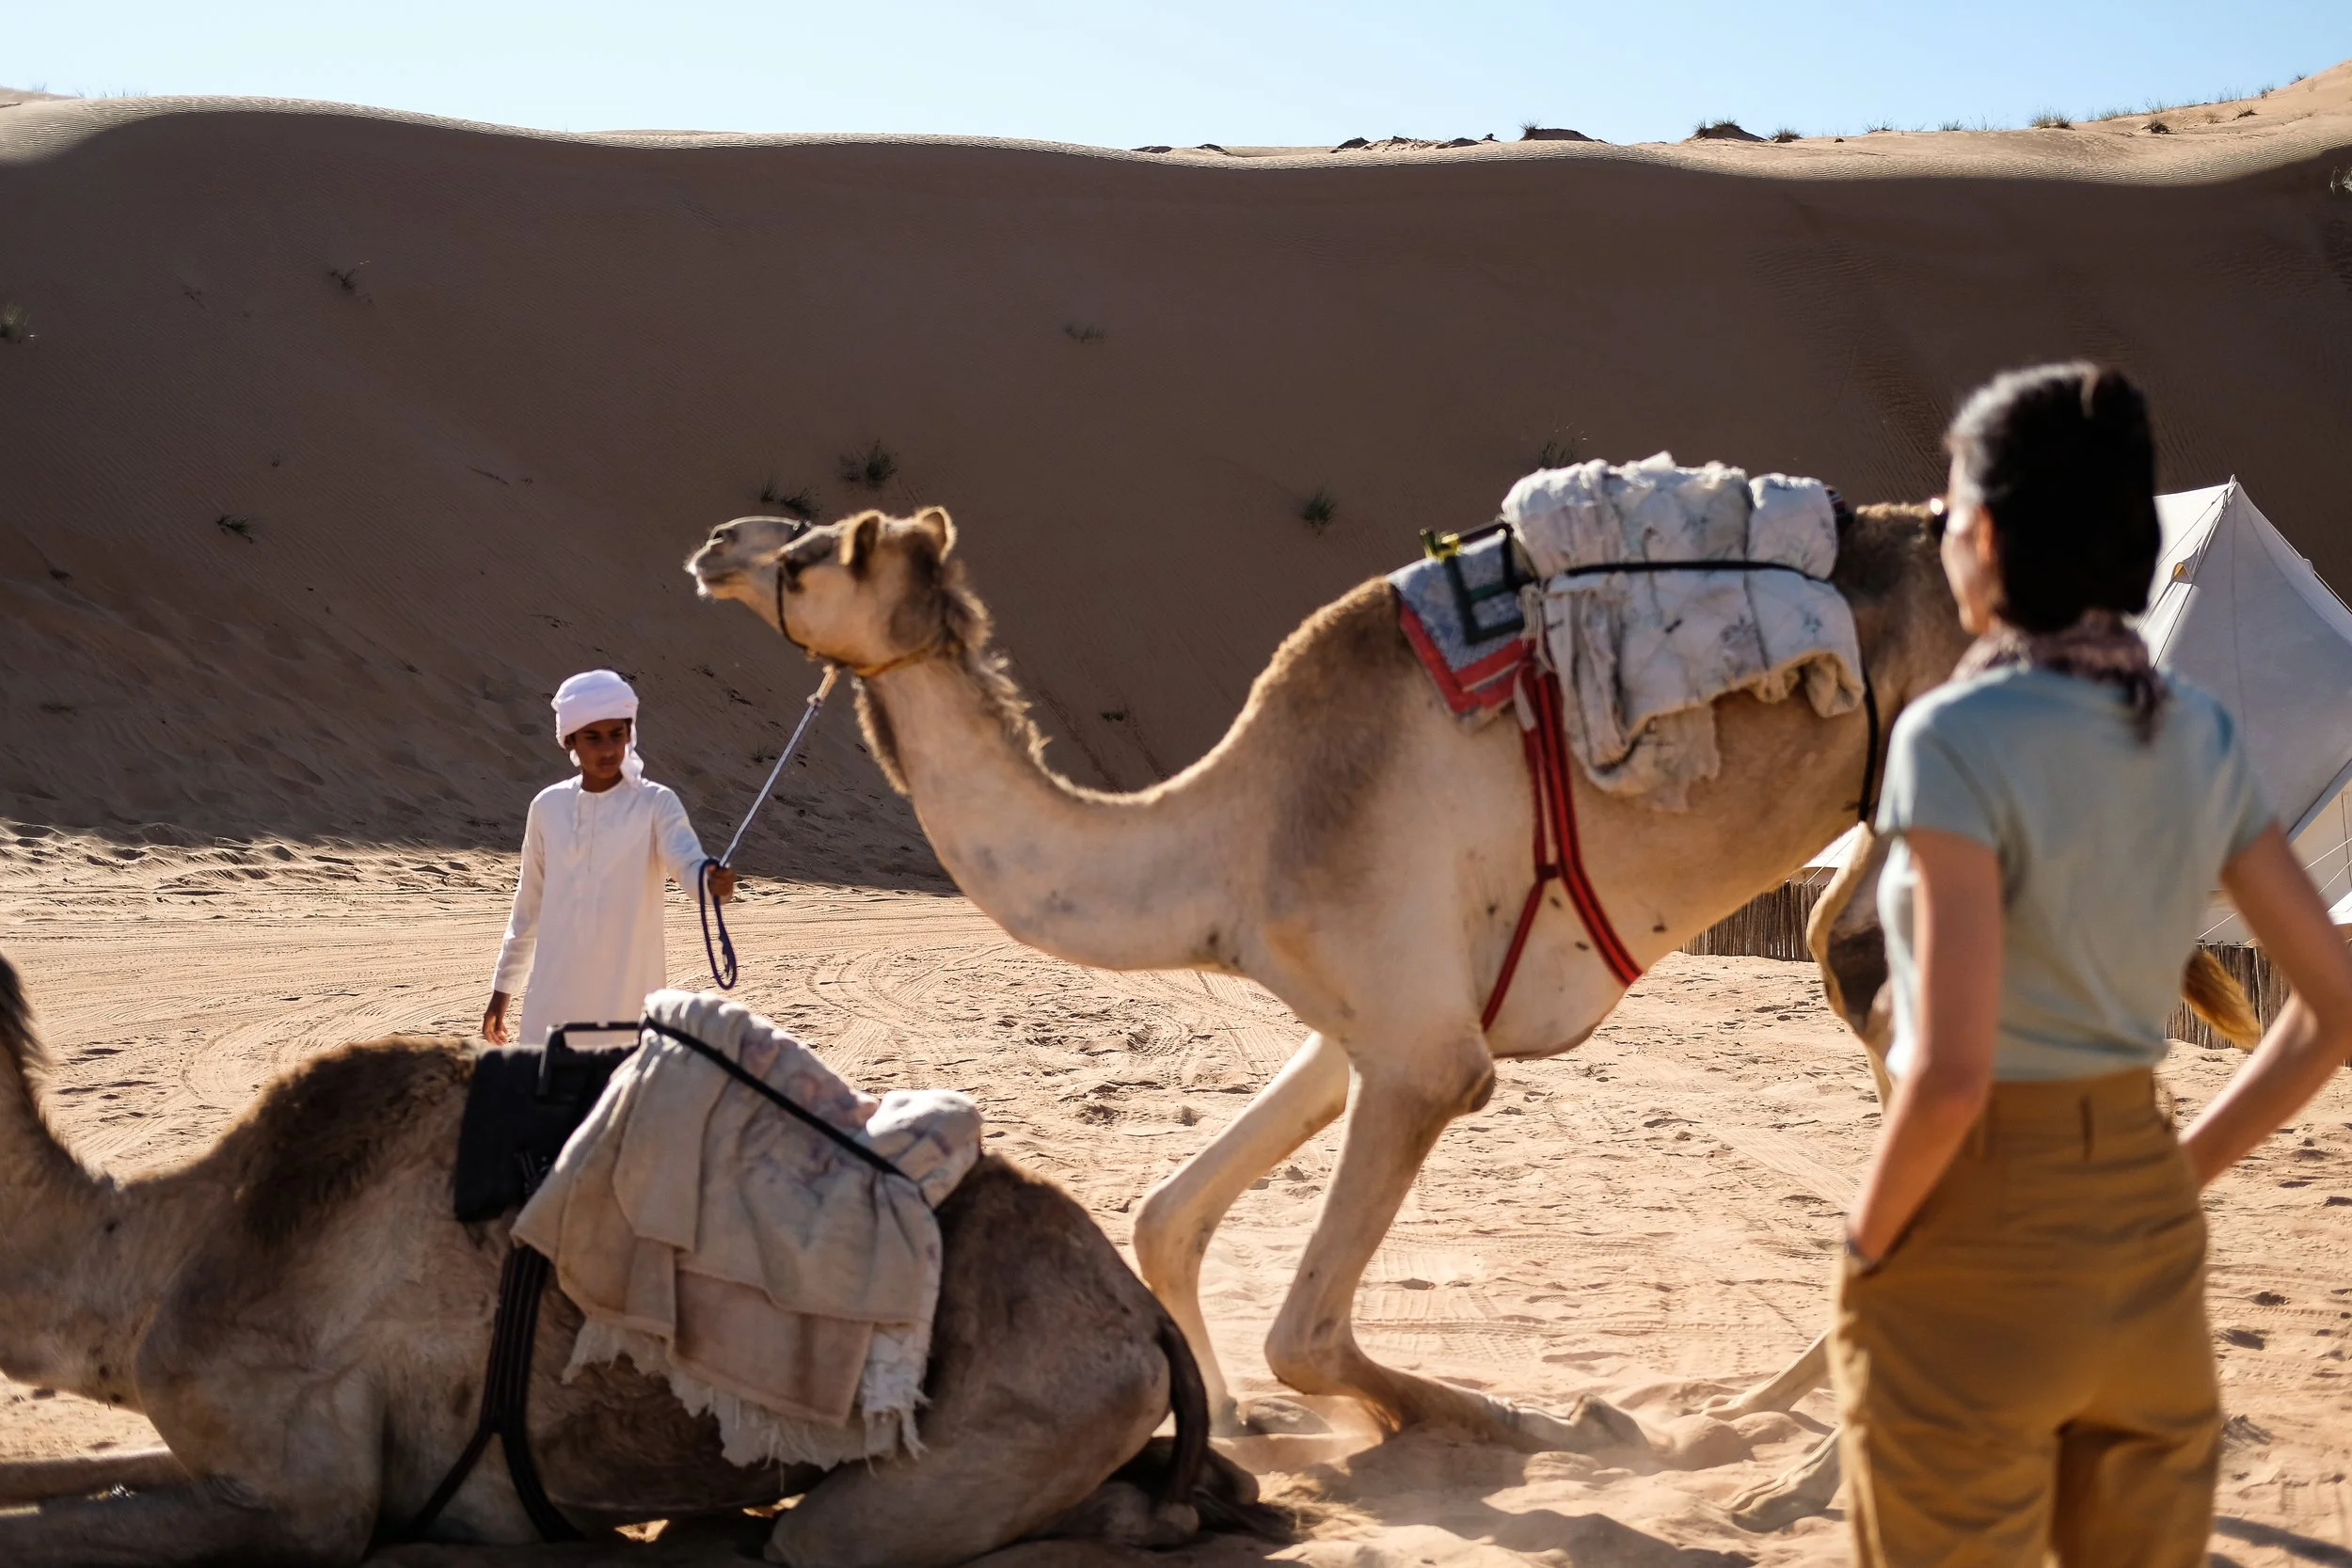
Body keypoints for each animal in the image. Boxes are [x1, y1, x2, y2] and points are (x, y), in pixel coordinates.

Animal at [686, 496, 1980, 1460]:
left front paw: (1543, 1419)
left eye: (806, 554)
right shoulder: (1351, 1025)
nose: (713, 544)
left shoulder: (1426, 1056)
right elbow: (1167, 1217)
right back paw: (1755, 1416)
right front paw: (1233, 1420)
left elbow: (1303, 1333)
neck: (1228, 840)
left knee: (1878, 984)